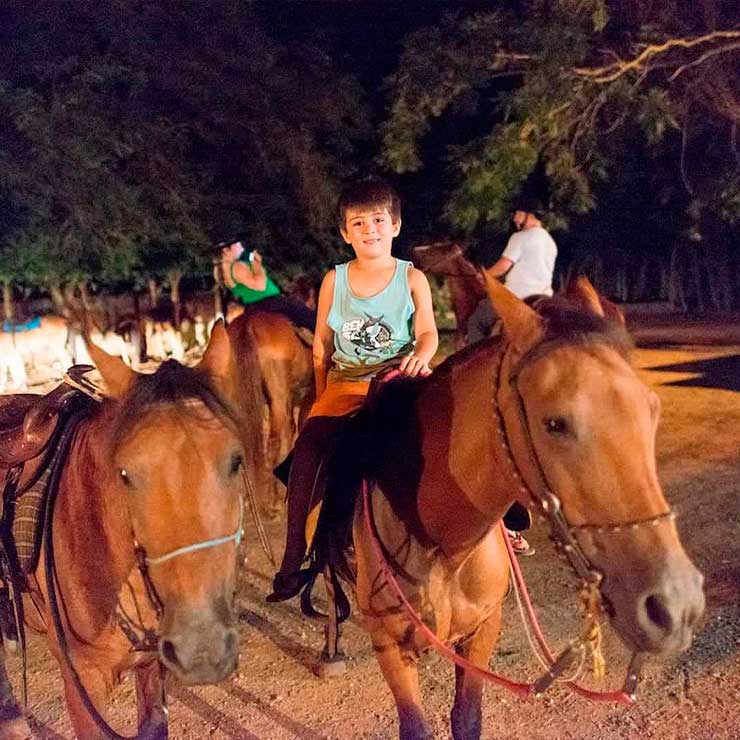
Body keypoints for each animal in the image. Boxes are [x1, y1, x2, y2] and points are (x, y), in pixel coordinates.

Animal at [350, 276, 704, 736]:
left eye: (652, 410)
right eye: (554, 423)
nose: (677, 606)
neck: (438, 541)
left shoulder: (483, 631)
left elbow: (467, 718)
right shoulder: (389, 646)